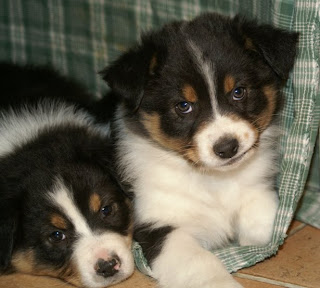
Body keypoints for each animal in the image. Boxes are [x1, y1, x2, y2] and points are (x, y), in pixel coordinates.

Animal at [98, 13, 300, 288]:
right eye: (184, 106)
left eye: (238, 91)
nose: (227, 147)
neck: (214, 180)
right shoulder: (160, 223)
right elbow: (199, 262)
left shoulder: (259, 190)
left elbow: (263, 227)